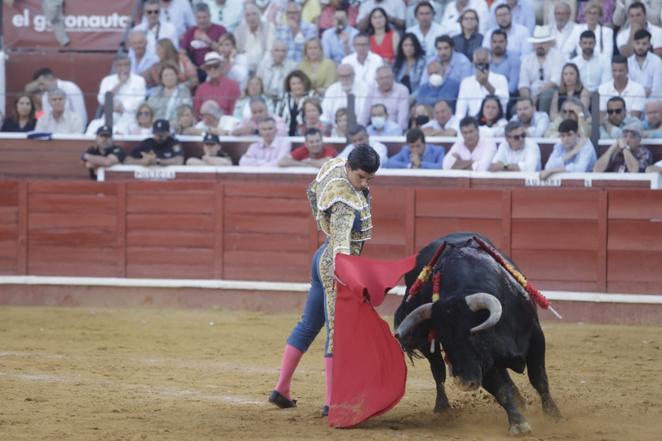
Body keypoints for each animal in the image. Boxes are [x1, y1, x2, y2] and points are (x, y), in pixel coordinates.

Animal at [396, 232, 564, 434]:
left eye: (473, 334)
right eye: (443, 338)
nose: (464, 382)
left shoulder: (536, 339)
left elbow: (539, 379)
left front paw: (554, 415)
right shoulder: (482, 364)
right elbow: (502, 390)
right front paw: (518, 423)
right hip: (428, 348)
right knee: (438, 372)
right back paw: (443, 409)